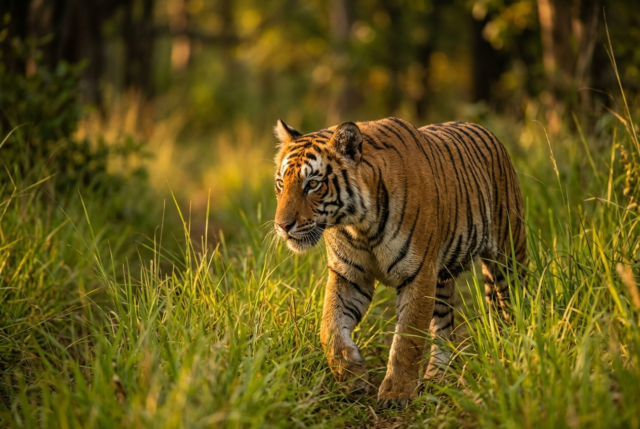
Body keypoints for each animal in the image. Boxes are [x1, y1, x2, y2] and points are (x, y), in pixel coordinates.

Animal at [272, 117, 527, 408]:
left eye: (313, 184)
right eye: (280, 183)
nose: (282, 226)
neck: (359, 224)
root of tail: (485, 130)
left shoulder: (418, 273)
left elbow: (407, 339)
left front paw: (397, 393)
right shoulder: (350, 276)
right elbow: (330, 328)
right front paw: (352, 377)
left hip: (509, 254)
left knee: (513, 304)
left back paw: (512, 352)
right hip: (441, 280)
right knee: (443, 328)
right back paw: (436, 376)